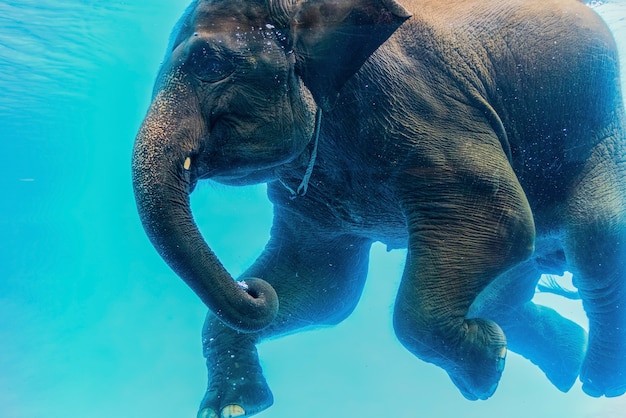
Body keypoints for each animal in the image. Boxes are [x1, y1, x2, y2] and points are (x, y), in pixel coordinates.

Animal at [129, 0, 620, 416]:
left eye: (211, 66)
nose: (250, 286)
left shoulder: (431, 112)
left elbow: (501, 219)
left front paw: (484, 374)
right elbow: (325, 287)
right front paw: (230, 407)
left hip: (601, 134)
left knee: (594, 243)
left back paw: (598, 382)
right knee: (509, 289)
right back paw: (565, 357)